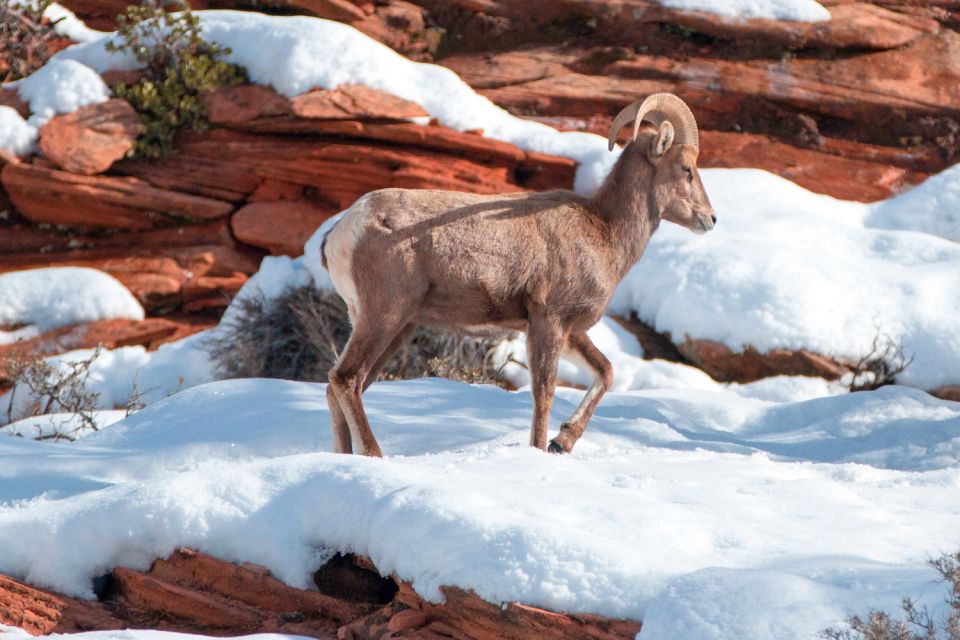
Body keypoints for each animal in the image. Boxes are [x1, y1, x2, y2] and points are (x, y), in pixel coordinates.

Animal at [320, 92, 712, 458]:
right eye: (686, 168)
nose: (710, 219)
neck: (604, 231)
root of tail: (342, 230)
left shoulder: (570, 331)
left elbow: (606, 372)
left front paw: (562, 442)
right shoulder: (548, 322)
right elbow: (544, 392)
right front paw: (541, 449)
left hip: (395, 326)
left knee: (340, 385)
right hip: (384, 316)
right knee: (346, 379)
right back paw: (374, 455)